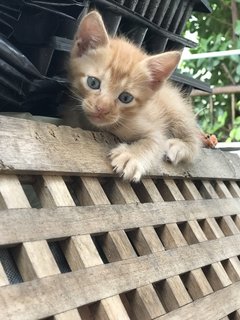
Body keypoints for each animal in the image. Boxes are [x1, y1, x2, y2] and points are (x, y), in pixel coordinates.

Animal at [66, 11, 201, 181]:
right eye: (93, 82)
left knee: (194, 141)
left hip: (177, 111)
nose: (101, 108)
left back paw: (178, 146)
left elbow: (155, 141)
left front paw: (131, 157)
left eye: (125, 98)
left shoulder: (154, 129)